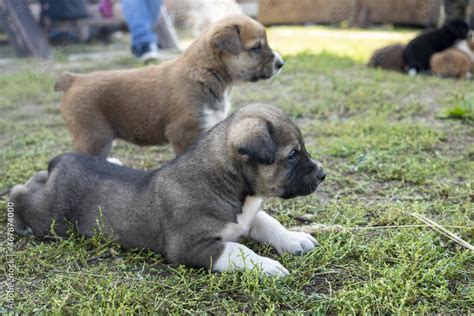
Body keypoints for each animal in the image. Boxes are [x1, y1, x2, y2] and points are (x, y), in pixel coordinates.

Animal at [12, 104, 328, 276]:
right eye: (292, 155)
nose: (323, 173)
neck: (231, 187)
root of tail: (61, 160)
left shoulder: (247, 218)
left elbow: (268, 221)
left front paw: (295, 239)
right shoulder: (190, 247)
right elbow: (239, 249)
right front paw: (267, 265)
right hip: (50, 217)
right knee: (20, 194)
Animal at [57, 14, 284, 157]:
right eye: (256, 48)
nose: (281, 63)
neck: (204, 72)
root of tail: (74, 79)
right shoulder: (183, 133)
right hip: (94, 137)